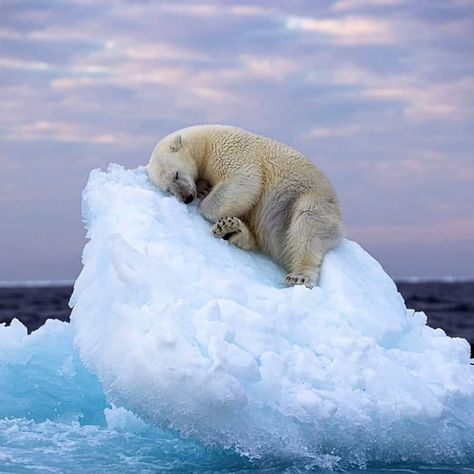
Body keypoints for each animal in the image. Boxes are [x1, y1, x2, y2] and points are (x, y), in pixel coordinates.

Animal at [146, 125, 342, 288]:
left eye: (176, 174)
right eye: (168, 189)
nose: (187, 197)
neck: (205, 142)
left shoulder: (230, 151)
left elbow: (244, 180)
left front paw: (204, 202)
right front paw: (204, 188)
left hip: (311, 199)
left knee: (307, 226)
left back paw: (299, 276)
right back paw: (230, 229)